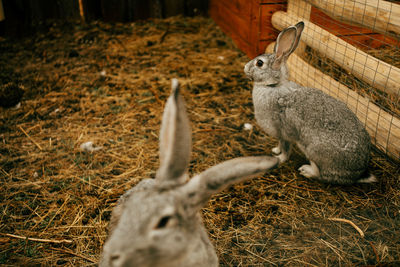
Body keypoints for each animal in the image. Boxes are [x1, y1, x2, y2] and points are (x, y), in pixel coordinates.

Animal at [242, 21, 376, 186]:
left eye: (259, 63)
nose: (245, 68)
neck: (273, 86)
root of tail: (358, 173)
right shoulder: (280, 135)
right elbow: (280, 144)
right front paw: (275, 150)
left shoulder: (284, 131)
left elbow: (286, 149)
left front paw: (279, 158)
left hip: (314, 150)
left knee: (321, 173)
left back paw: (306, 170)